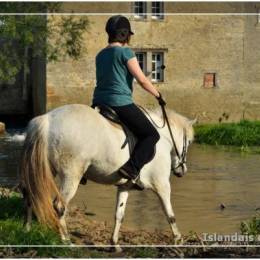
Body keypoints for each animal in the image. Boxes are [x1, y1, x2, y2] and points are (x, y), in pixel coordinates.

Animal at [19, 103, 195, 250]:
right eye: (189, 142)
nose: (182, 170)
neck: (163, 138)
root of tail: (47, 119)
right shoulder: (162, 185)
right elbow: (169, 214)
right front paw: (178, 240)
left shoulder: (124, 186)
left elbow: (119, 215)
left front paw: (114, 244)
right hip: (71, 175)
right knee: (59, 205)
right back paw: (66, 241)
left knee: (30, 195)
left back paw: (27, 230)